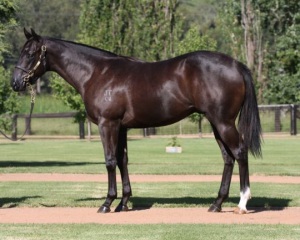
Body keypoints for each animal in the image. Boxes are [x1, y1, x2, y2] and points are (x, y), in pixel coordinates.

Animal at [12, 29, 260, 215]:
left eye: (31, 53)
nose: (15, 83)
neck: (98, 73)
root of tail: (236, 65)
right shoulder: (121, 127)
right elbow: (123, 161)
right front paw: (123, 203)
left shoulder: (107, 124)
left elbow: (110, 161)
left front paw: (107, 203)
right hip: (215, 123)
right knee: (228, 158)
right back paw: (216, 204)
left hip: (223, 122)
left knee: (240, 152)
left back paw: (242, 204)